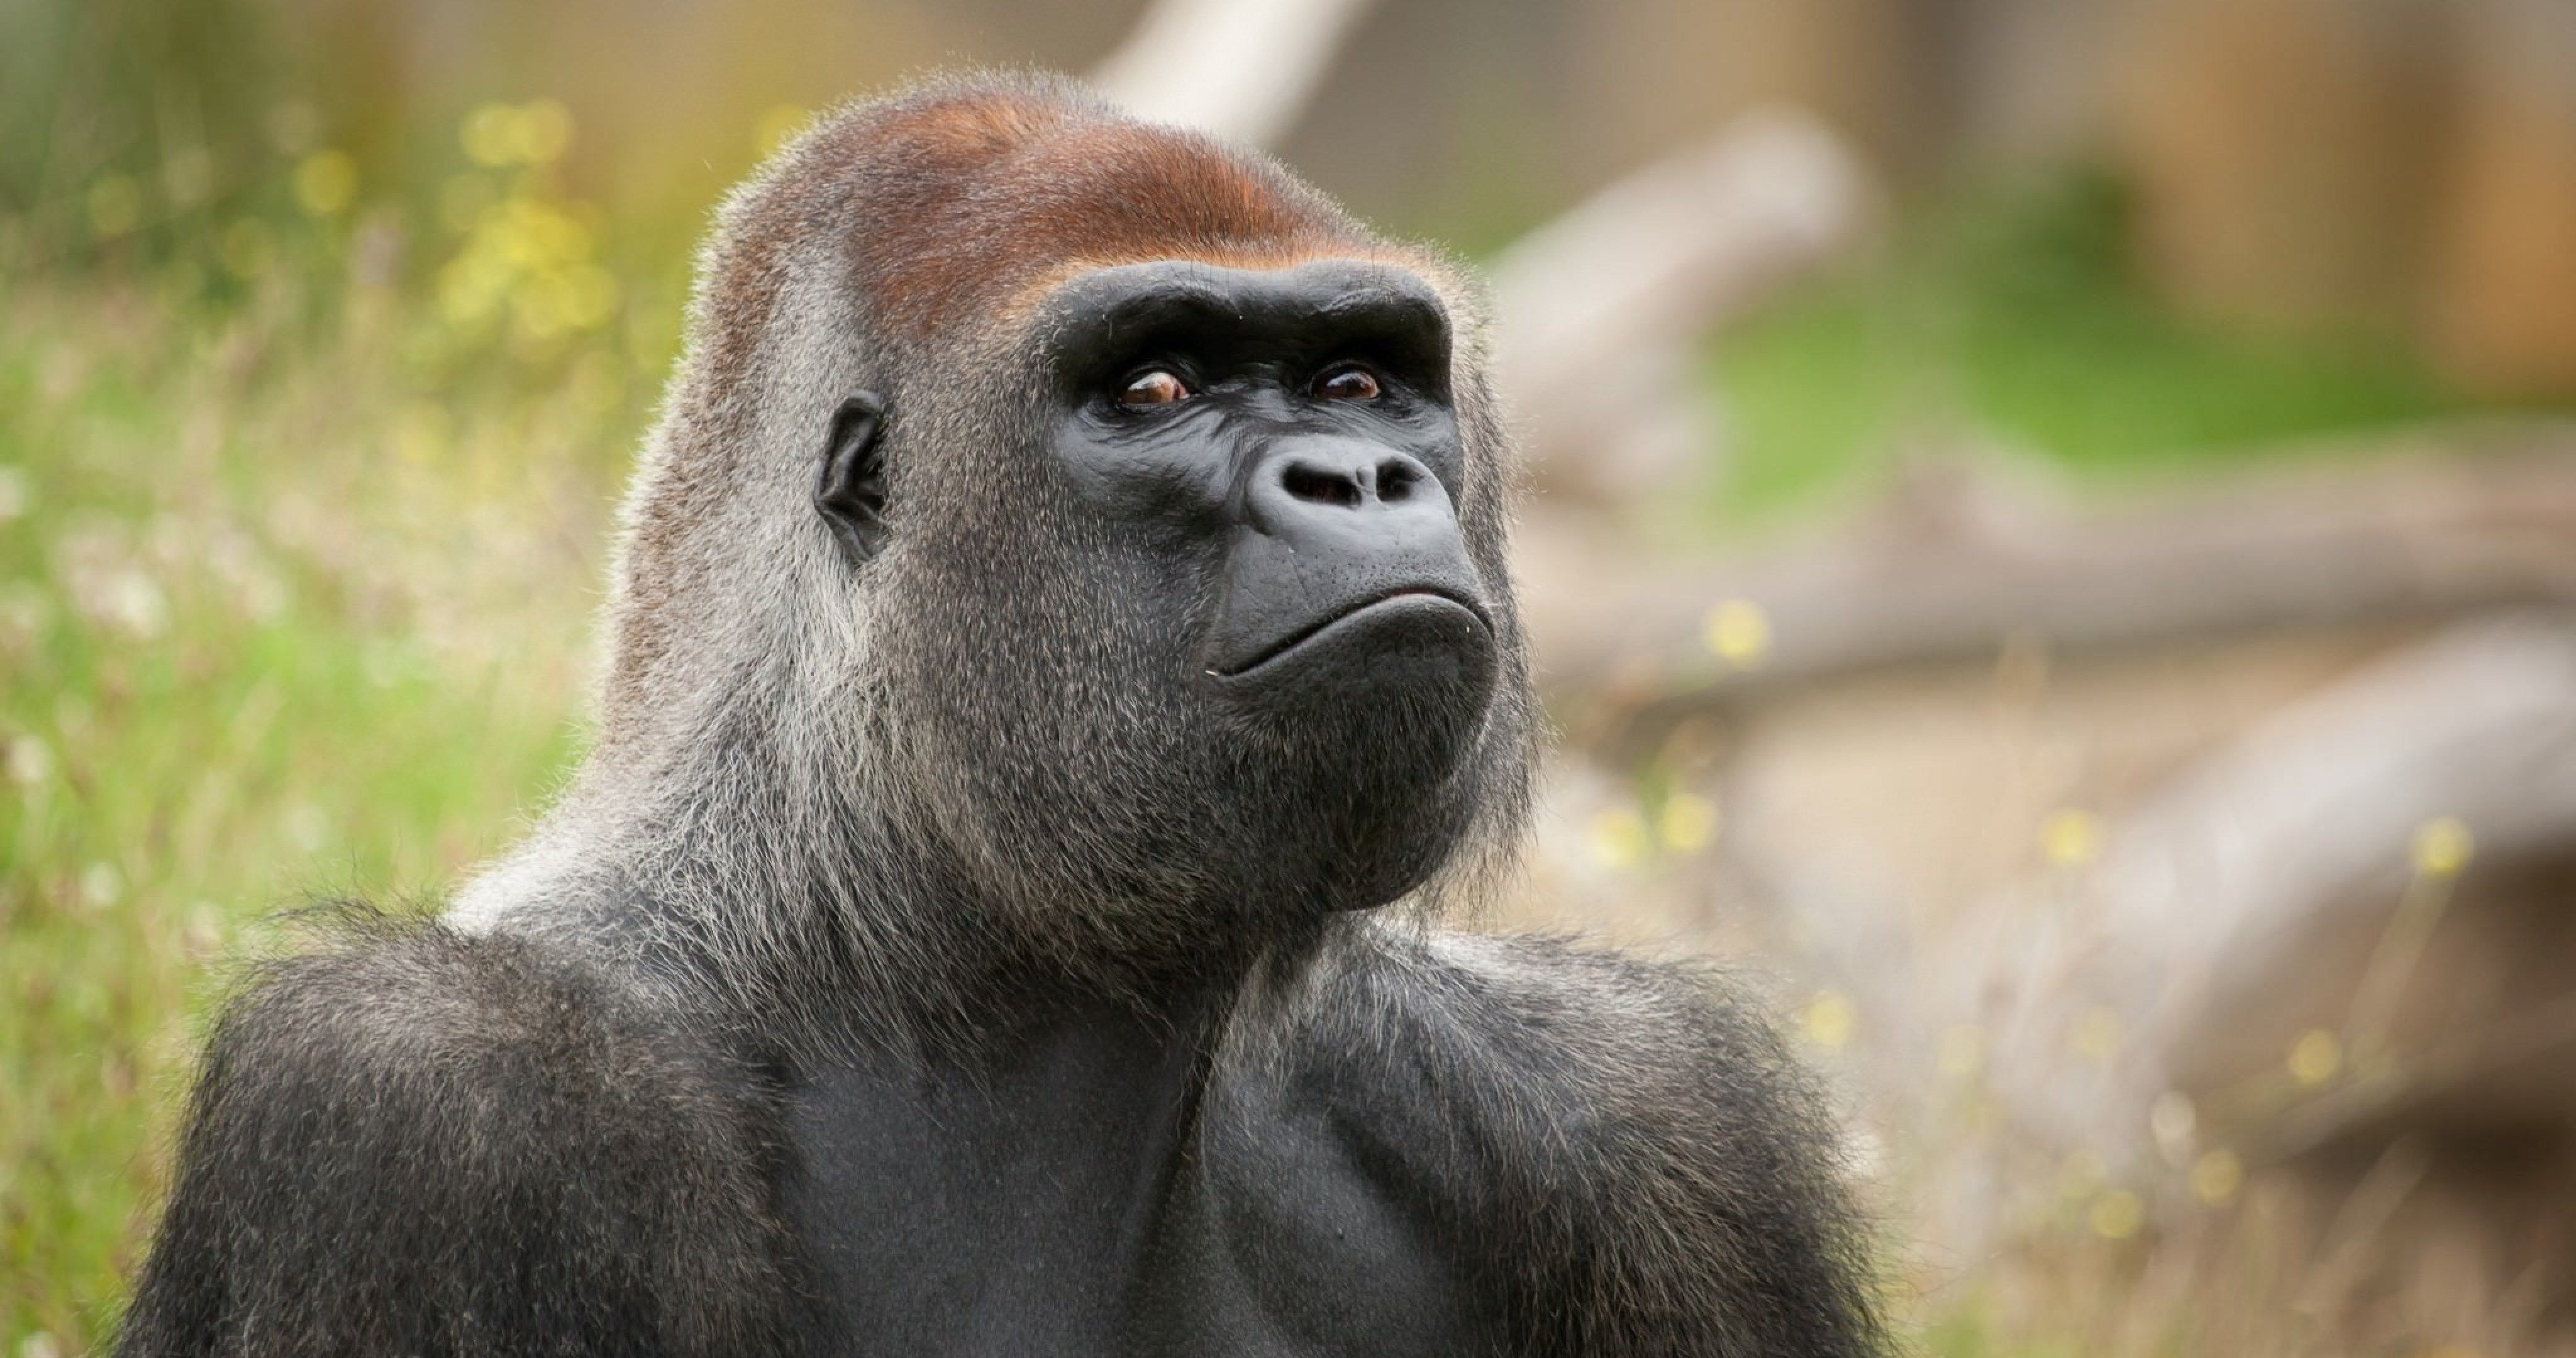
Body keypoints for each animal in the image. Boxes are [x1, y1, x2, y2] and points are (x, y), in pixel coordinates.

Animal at [118, 73, 1885, 1357]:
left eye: (1361, 383)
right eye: (1155, 388)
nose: (1361, 475)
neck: (884, 937)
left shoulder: (1642, 1107)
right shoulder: (433, 1106)